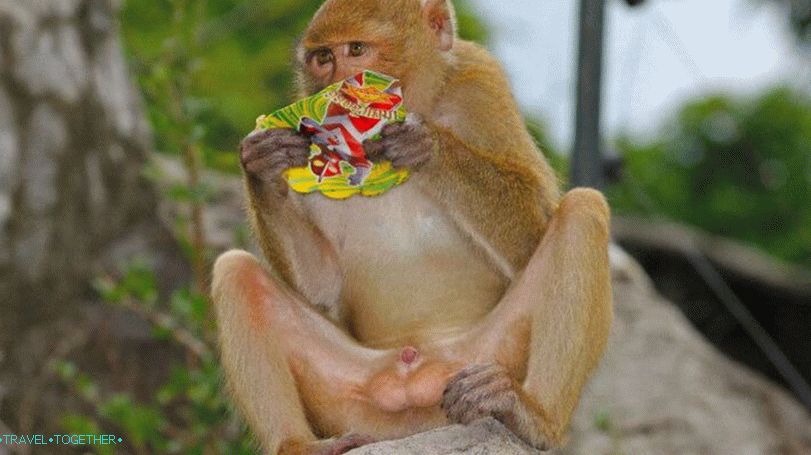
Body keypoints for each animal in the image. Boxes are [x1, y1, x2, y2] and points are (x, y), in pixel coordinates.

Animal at [211, 0, 613, 453]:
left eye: (356, 49)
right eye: (323, 57)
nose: (335, 81)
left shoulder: (481, 82)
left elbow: (533, 234)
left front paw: (426, 145)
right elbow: (320, 286)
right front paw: (265, 160)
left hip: (486, 358)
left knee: (583, 210)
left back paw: (531, 416)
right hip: (354, 403)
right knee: (237, 272)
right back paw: (298, 445)